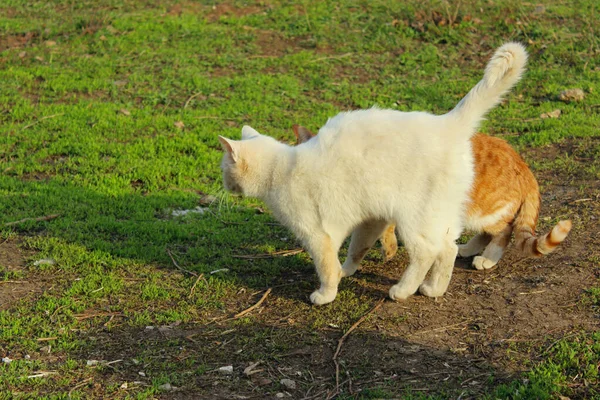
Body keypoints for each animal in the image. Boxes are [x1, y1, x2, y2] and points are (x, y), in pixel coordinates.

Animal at [219, 43, 524, 304]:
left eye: (223, 168)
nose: (223, 184)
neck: (282, 169)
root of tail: (447, 122)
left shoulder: (319, 235)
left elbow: (326, 268)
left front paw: (325, 294)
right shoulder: (371, 219)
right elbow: (357, 249)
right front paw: (346, 271)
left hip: (415, 219)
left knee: (427, 251)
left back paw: (402, 291)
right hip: (438, 217)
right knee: (448, 248)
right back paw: (433, 288)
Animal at [292, 125, 576, 268]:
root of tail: (523, 165)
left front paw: (388, 248)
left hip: (483, 211)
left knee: (503, 232)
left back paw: (487, 258)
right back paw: (467, 249)